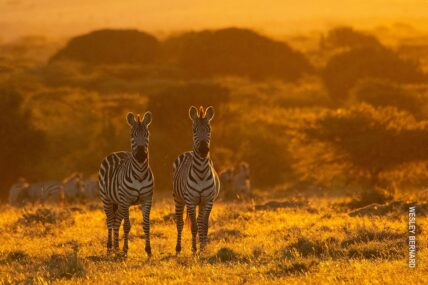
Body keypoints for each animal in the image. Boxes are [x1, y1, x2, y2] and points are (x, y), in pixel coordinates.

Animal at [98, 111, 154, 255]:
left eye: (147, 134)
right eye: (132, 135)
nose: (141, 156)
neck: (140, 174)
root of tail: (116, 152)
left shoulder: (147, 199)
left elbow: (146, 225)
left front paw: (148, 250)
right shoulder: (126, 200)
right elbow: (127, 226)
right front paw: (125, 250)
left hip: (118, 203)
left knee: (116, 221)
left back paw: (116, 247)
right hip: (107, 199)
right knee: (110, 221)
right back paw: (110, 247)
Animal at [172, 105, 221, 252]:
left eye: (209, 129)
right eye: (194, 130)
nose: (203, 150)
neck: (201, 172)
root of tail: (188, 152)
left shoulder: (208, 200)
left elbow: (204, 224)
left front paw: (203, 248)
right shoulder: (191, 200)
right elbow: (194, 226)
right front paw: (194, 249)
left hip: (201, 202)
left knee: (199, 221)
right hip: (178, 198)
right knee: (180, 222)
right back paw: (178, 248)